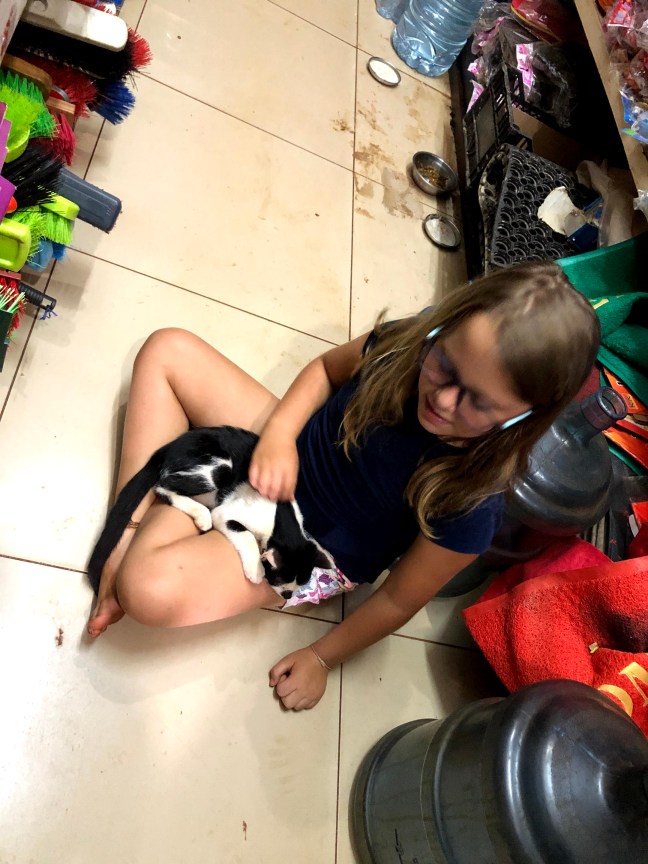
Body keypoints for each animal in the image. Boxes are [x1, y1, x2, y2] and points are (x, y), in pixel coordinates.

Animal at [87, 426, 333, 600]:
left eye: (301, 583)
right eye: (280, 578)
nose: (288, 595)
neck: (282, 519)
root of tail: (169, 447)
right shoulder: (228, 512)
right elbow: (244, 534)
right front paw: (255, 569)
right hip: (219, 467)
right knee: (162, 484)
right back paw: (202, 514)